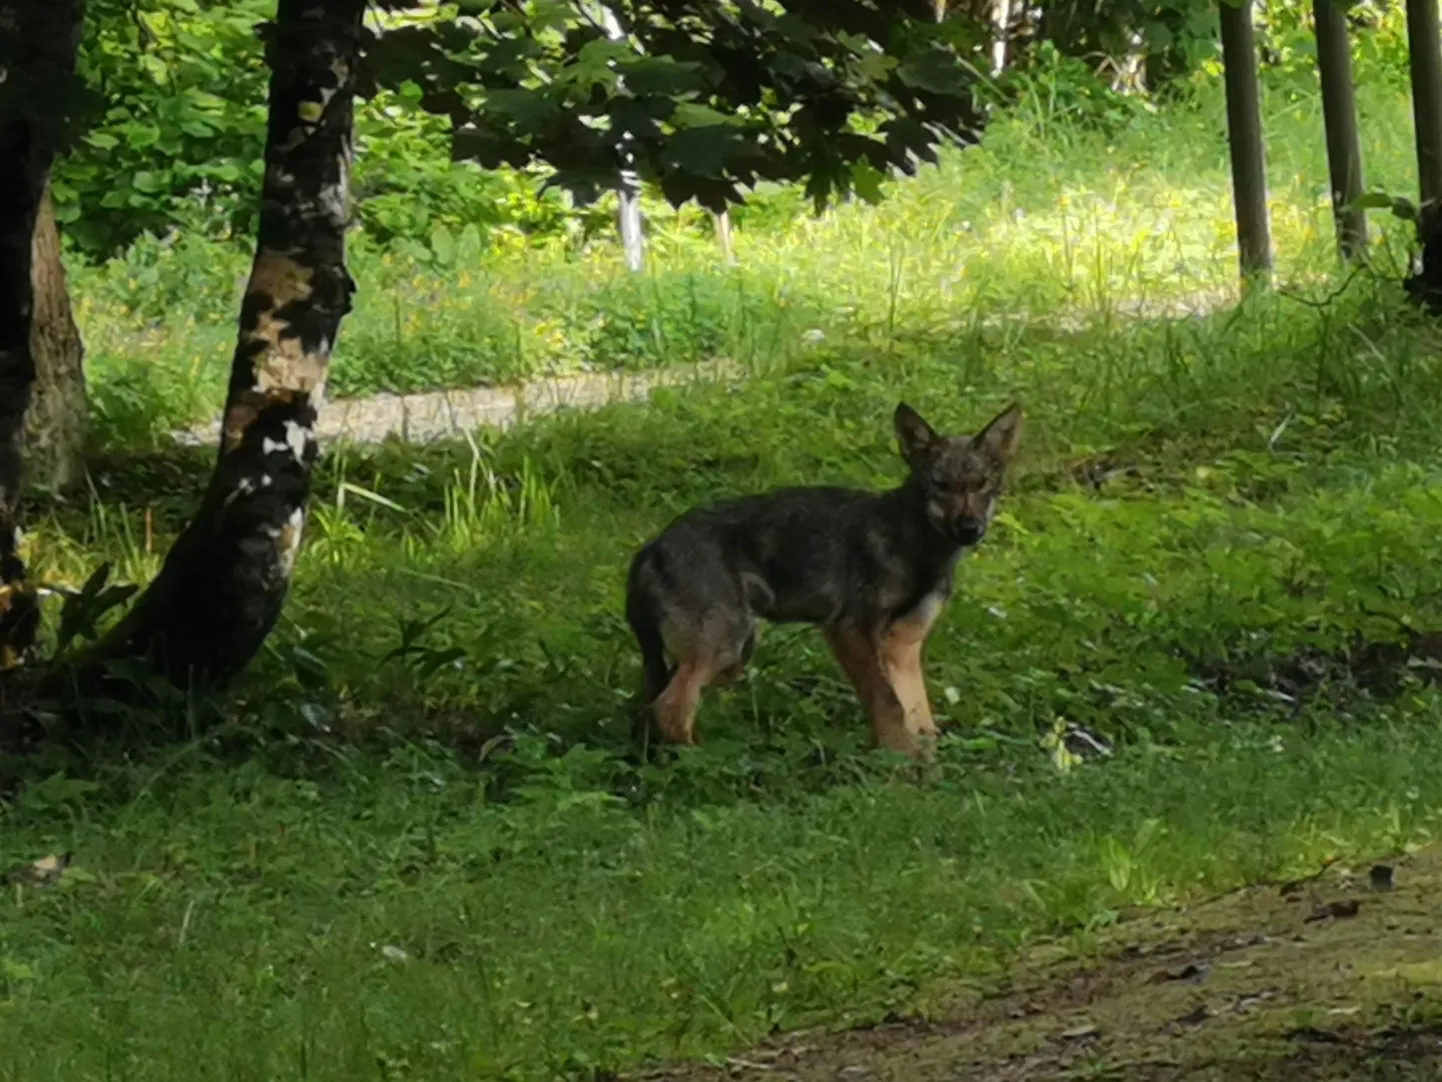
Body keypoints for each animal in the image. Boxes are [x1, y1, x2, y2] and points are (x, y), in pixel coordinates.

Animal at [625, 401, 1020, 761]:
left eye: (982, 484)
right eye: (940, 484)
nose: (969, 529)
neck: (919, 547)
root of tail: (648, 548)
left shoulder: (903, 645)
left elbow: (922, 724)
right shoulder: (848, 630)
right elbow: (889, 705)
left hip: (732, 652)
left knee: (652, 706)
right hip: (725, 644)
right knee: (669, 709)